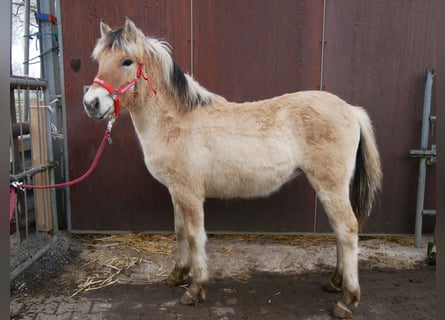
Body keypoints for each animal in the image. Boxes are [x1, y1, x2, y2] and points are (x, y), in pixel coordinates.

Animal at [83, 18, 382, 318]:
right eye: (99, 59)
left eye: (127, 61)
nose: (92, 103)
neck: (177, 121)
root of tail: (351, 110)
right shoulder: (176, 192)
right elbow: (180, 232)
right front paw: (177, 275)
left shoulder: (190, 195)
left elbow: (195, 236)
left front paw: (195, 289)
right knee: (339, 230)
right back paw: (335, 282)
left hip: (330, 185)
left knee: (347, 229)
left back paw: (347, 300)